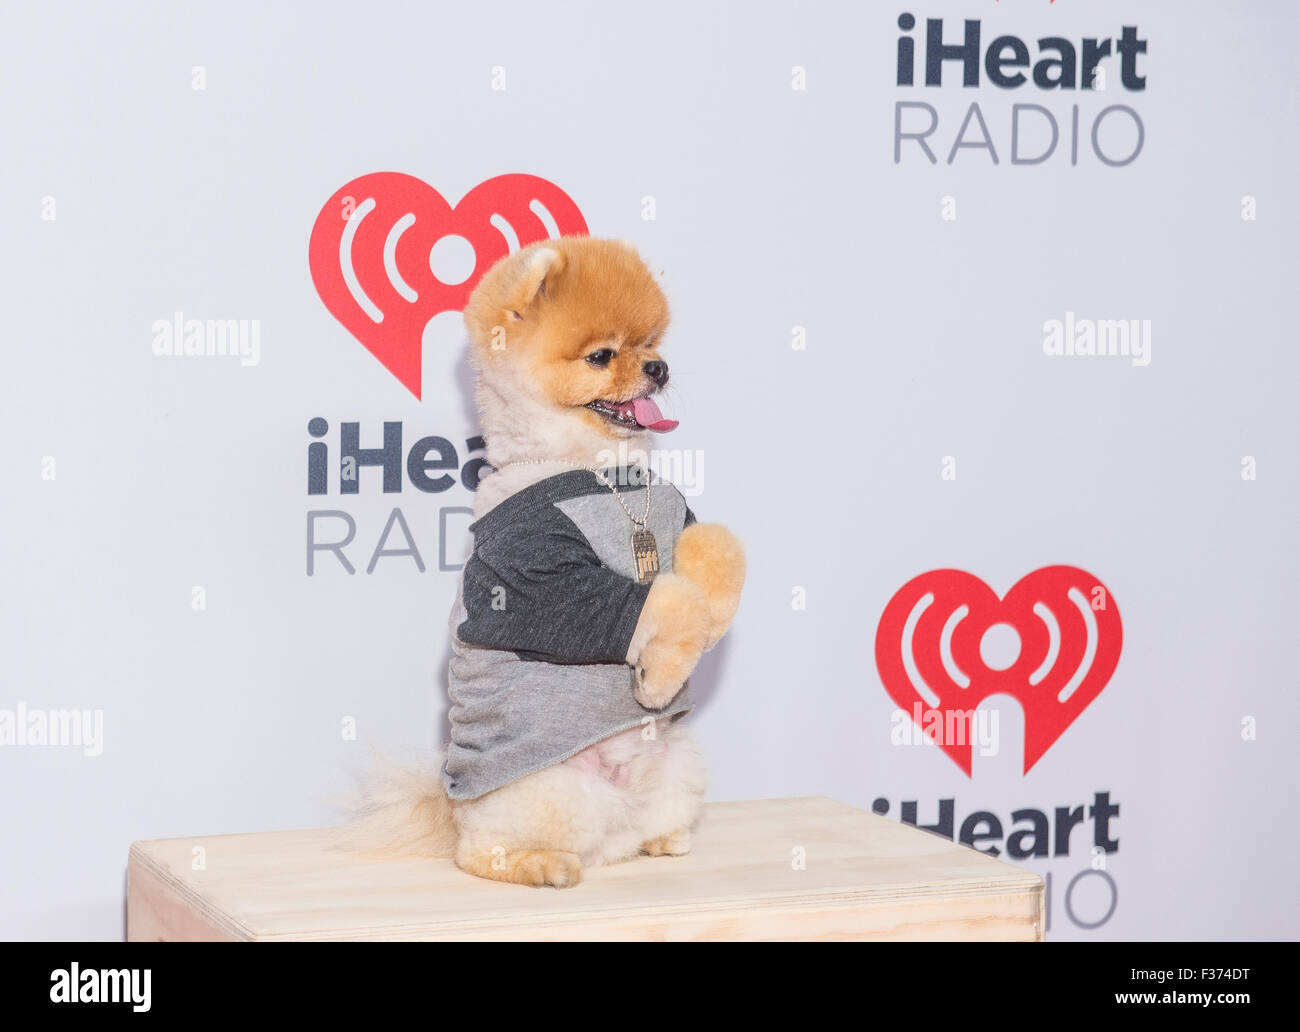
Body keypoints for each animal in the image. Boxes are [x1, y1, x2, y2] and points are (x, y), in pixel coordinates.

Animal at [345, 235, 748, 883]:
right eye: (601, 356)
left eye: (651, 344)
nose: (658, 369)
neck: (604, 473)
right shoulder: (545, 579)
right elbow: (664, 601)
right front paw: (661, 675)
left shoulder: (681, 518)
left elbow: (720, 548)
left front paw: (712, 622)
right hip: (543, 792)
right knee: (477, 852)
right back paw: (539, 864)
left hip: (680, 760)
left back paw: (659, 839)